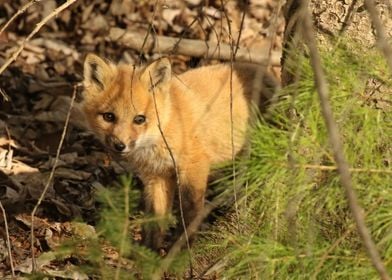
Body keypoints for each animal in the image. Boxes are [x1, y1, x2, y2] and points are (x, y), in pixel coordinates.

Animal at [81, 54, 276, 249]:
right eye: (109, 117)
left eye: (139, 119)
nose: (119, 145)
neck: (166, 129)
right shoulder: (157, 176)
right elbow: (155, 220)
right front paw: (149, 251)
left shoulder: (194, 168)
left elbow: (190, 213)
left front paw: (182, 249)